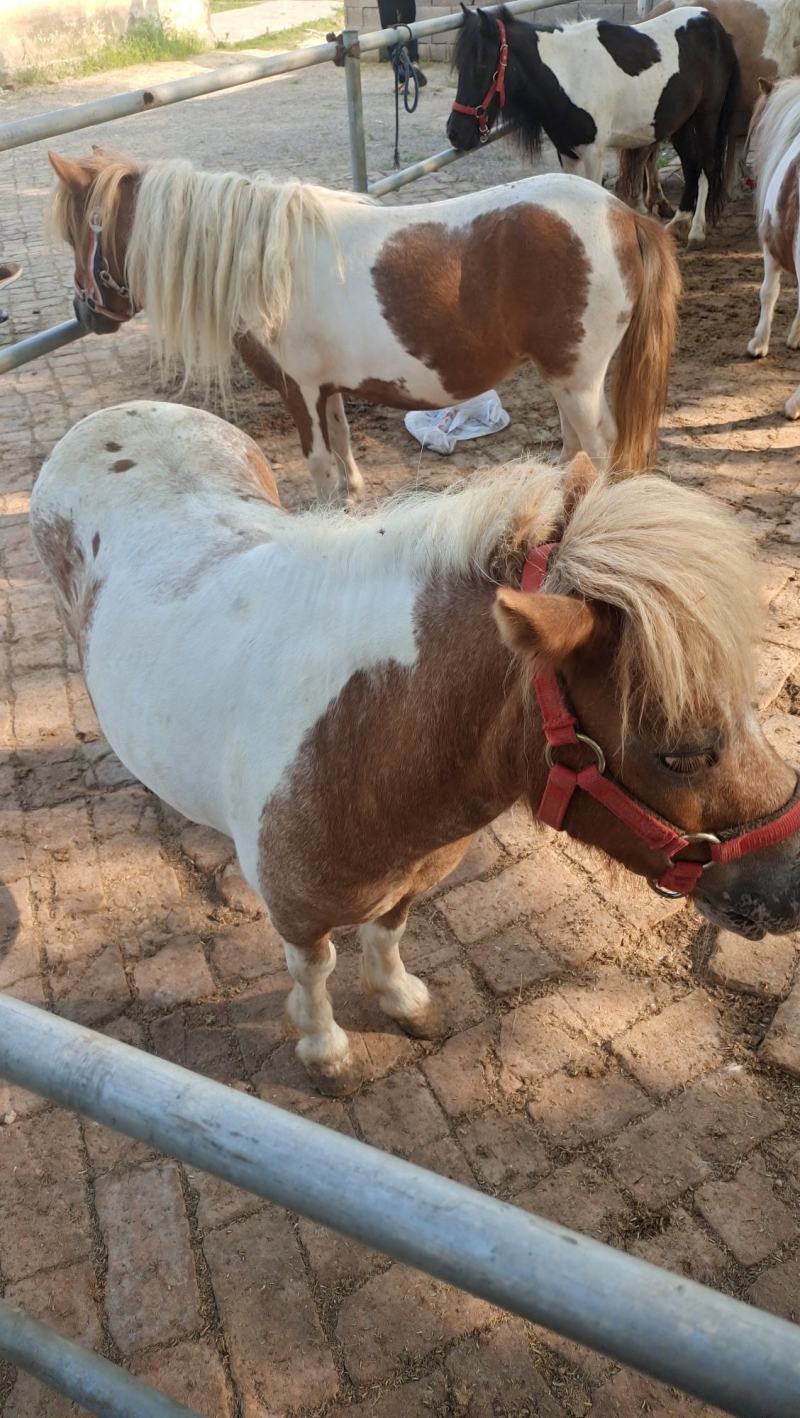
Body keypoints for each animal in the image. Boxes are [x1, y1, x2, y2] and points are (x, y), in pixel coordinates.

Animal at [31, 401, 800, 1094]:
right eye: (680, 754)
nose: (791, 887)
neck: (367, 730)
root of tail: (114, 415)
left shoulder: (409, 877)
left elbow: (388, 935)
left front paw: (403, 1002)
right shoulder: (297, 914)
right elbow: (315, 975)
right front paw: (326, 1053)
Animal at [48, 149, 680, 499]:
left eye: (79, 235)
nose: (85, 313)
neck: (264, 264)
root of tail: (625, 216)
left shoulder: (298, 391)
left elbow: (320, 466)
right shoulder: (326, 389)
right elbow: (345, 449)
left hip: (578, 380)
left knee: (599, 449)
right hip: (565, 379)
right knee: (576, 448)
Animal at [448, 4, 739, 247]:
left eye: (482, 64)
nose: (455, 133)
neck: (567, 75)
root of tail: (714, 24)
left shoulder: (593, 152)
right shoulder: (567, 151)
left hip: (707, 116)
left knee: (707, 165)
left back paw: (697, 232)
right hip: (681, 123)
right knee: (692, 165)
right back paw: (678, 225)